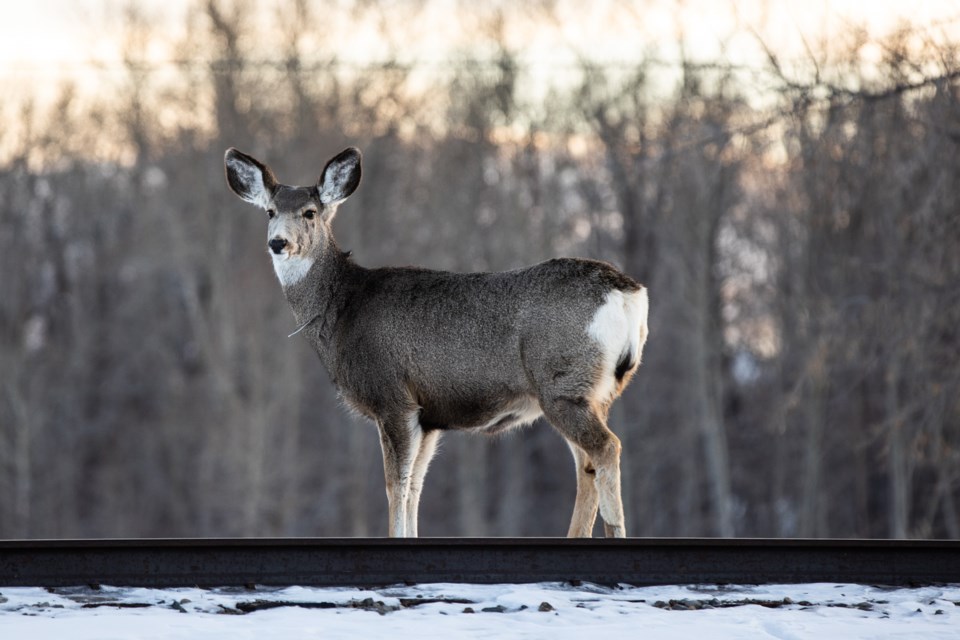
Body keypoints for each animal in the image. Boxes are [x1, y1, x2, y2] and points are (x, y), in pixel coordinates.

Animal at [221, 145, 648, 536]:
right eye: (270, 212)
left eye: (310, 212)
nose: (278, 242)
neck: (342, 310)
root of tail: (628, 293)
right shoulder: (429, 417)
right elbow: (415, 489)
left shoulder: (393, 397)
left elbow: (395, 486)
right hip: (594, 391)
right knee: (586, 464)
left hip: (563, 385)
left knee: (606, 449)